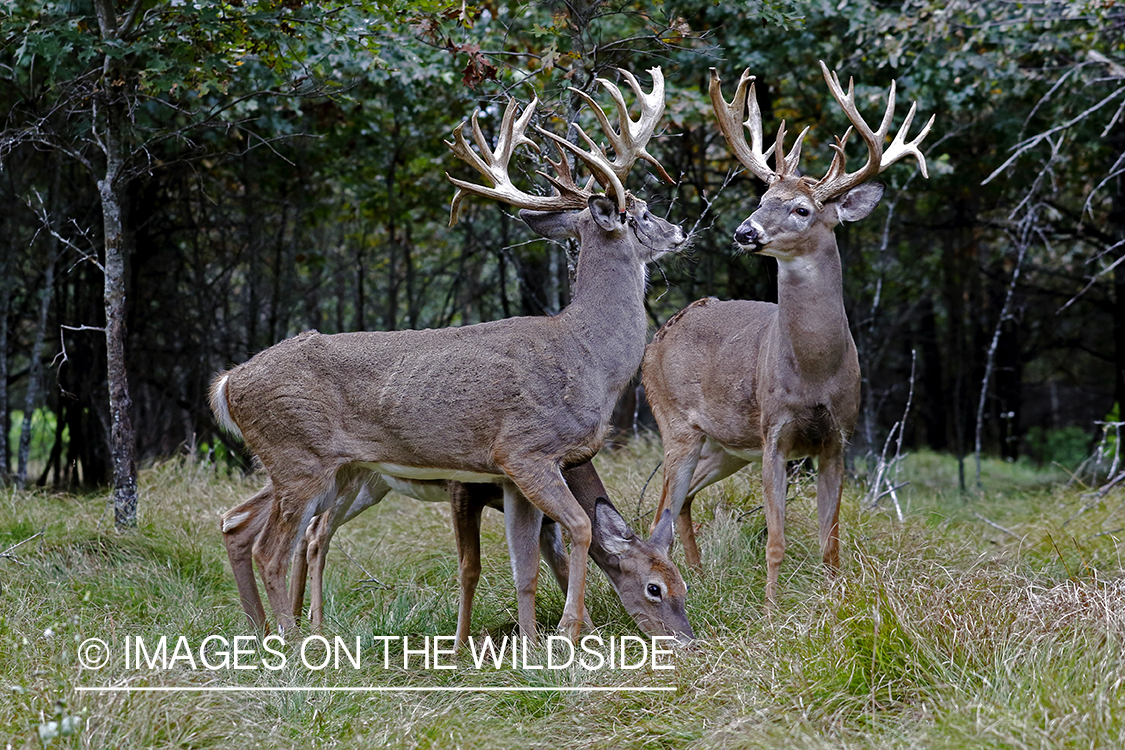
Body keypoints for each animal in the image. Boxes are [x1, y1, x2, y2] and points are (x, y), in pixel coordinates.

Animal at [213, 67, 688, 638]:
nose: (680, 231)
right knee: (271, 549)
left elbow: (526, 562)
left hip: (303, 467)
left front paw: (533, 644)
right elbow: (577, 527)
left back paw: (263, 634)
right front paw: (569, 632)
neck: (590, 355)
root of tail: (229, 383)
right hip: (299, 457)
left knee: (238, 524)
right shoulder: (526, 449)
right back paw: (290, 641)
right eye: (641, 212)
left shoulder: (507, 475)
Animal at [643, 61, 931, 607]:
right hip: (677, 424)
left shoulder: (838, 438)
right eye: (762, 199)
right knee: (662, 502)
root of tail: (660, 335)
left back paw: (697, 574)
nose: (745, 232)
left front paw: (836, 600)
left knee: (681, 500)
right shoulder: (774, 434)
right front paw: (773, 607)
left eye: (801, 209)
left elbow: (830, 539)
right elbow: (776, 538)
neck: (815, 371)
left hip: (726, 445)